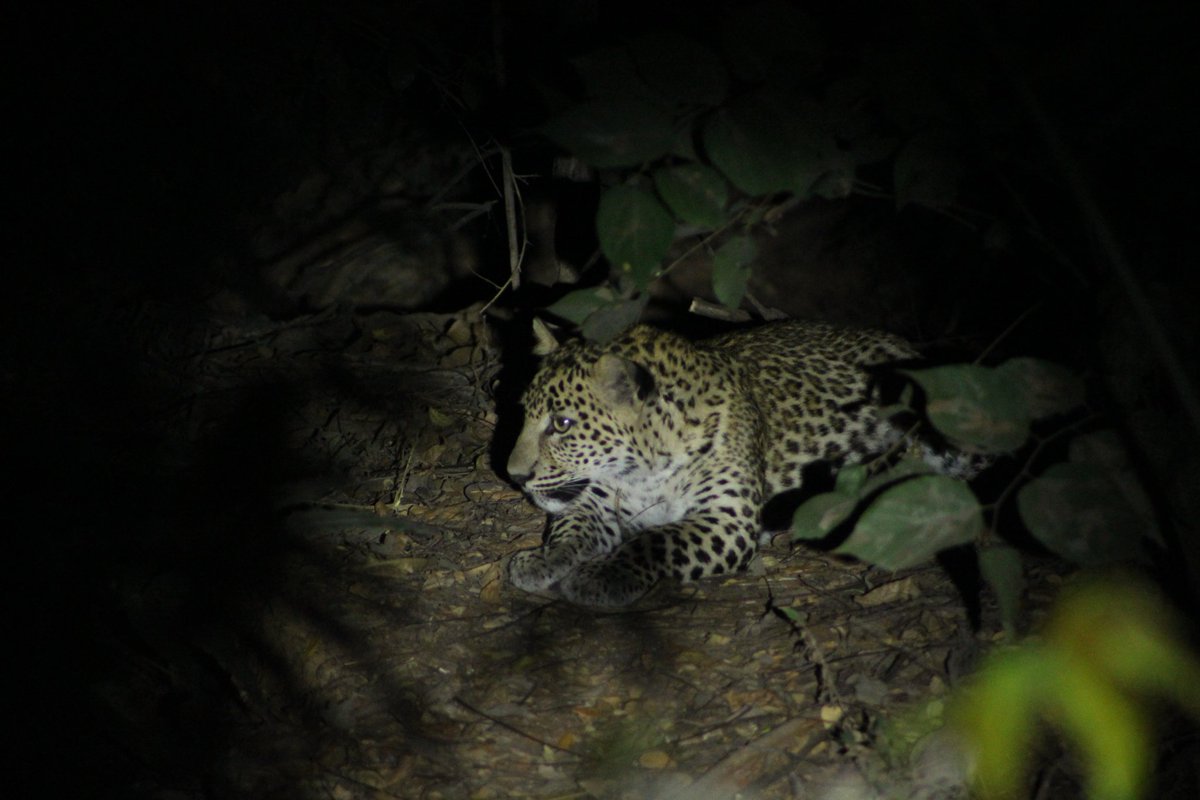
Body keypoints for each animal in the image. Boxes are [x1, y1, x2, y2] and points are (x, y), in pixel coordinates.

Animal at [504, 318, 969, 608]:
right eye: (524, 413)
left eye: (562, 424)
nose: (514, 476)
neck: (644, 472)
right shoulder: (595, 502)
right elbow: (569, 530)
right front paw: (543, 559)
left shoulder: (727, 519)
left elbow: (655, 540)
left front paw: (603, 575)